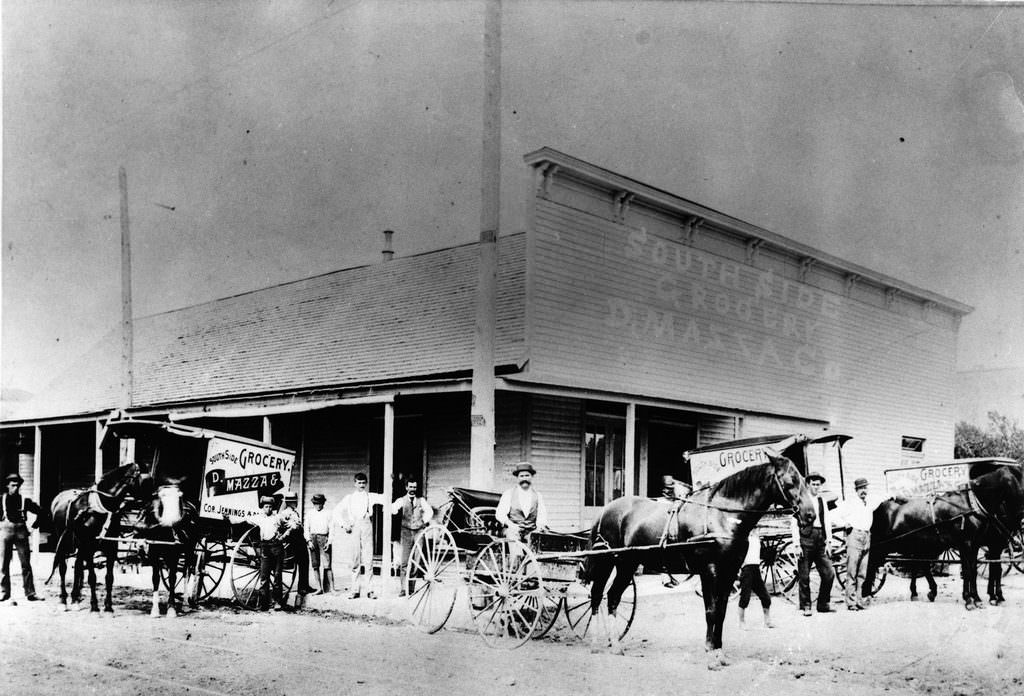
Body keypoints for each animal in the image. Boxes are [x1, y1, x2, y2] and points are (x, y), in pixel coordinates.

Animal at [46, 464, 143, 610]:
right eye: (142, 479)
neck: (98, 507)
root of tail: (58, 499)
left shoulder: (111, 547)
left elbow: (109, 577)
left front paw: (108, 606)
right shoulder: (88, 547)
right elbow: (92, 577)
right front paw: (94, 606)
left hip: (79, 546)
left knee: (78, 566)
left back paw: (75, 598)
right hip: (64, 541)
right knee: (63, 567)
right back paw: (63, 600)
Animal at [585, 442, 815, 667]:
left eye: (803, 479)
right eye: (790, 481)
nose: (810, 515)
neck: (722, 515)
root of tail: (606, 510)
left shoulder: (729, 571)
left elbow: (720, 611)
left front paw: (717, 651)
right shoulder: (709, 570)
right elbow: (711, 611)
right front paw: (712, 655)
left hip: (628, 564)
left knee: (612, 596)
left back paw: (614, 643)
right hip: (608, 561)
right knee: (598, 595)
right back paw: (598, 642)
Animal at [864, 466, 1024, 610]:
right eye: (1014, 484)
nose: (1019, 517)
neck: (970, 505)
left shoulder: (977, 544)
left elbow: (975, 570)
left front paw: (979, 598)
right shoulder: (967, 543)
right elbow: (970, 571)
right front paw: (971, 599)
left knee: (919, 566)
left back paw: (924, 592)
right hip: (881, 546)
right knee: (870, 565)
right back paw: (865, 594)